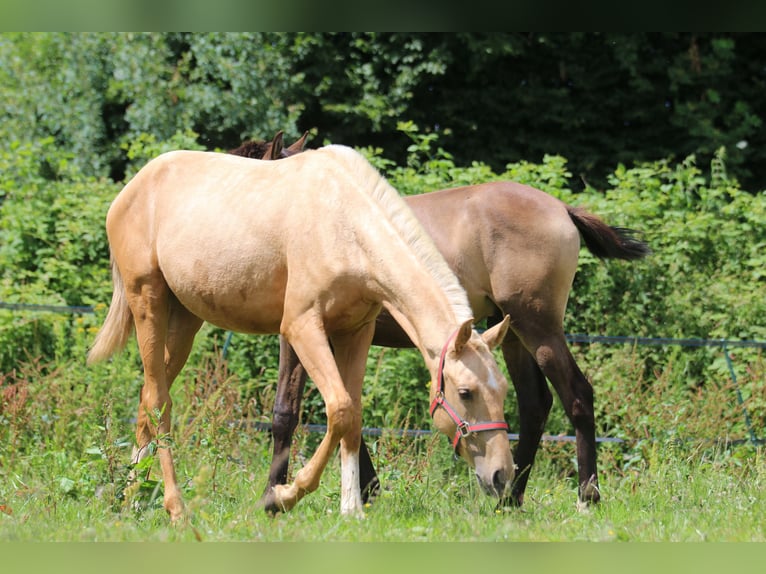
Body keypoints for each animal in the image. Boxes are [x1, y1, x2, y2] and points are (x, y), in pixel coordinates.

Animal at [88, 144, 516, 520]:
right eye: (466, 393)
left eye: (502, 392)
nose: (502, 476)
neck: (346, 225)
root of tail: (133, 187)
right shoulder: (302, 326)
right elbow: (339, 409)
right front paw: (281, 497)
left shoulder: (355, 332)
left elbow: (354, 417)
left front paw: (352, 510)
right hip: (148, 303)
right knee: (159, 403)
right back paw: (175, 508)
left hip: (184, 320)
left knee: (146, 399)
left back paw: (131, 498)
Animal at [226, 142, 648, 510]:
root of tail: (562, 208)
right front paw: (369, 489)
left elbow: (286, 412)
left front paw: (274, 493)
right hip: (510, 332)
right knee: (535, 403)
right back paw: (511, 498)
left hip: (538, 328)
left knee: (576, 395)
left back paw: (586, 497)